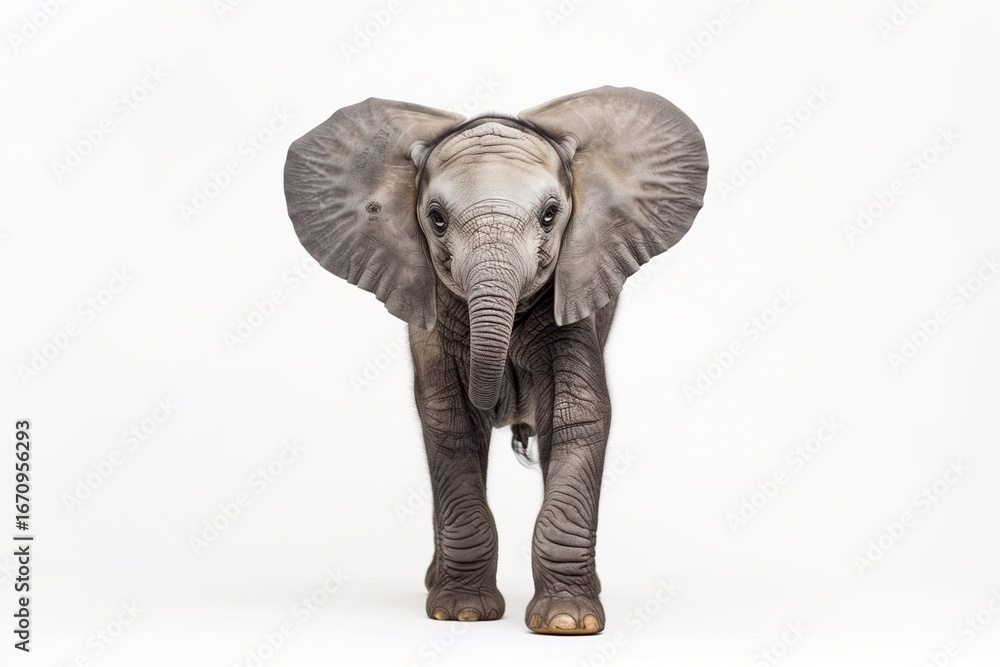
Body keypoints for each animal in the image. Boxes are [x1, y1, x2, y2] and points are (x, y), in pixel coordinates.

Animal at [283, 86, 708, 635]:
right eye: (436, 218)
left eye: (550, 214)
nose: (505, 402)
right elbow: (450, 422)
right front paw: (461, 613)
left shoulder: (573, 293)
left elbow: (578, 415)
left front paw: (567, 622)